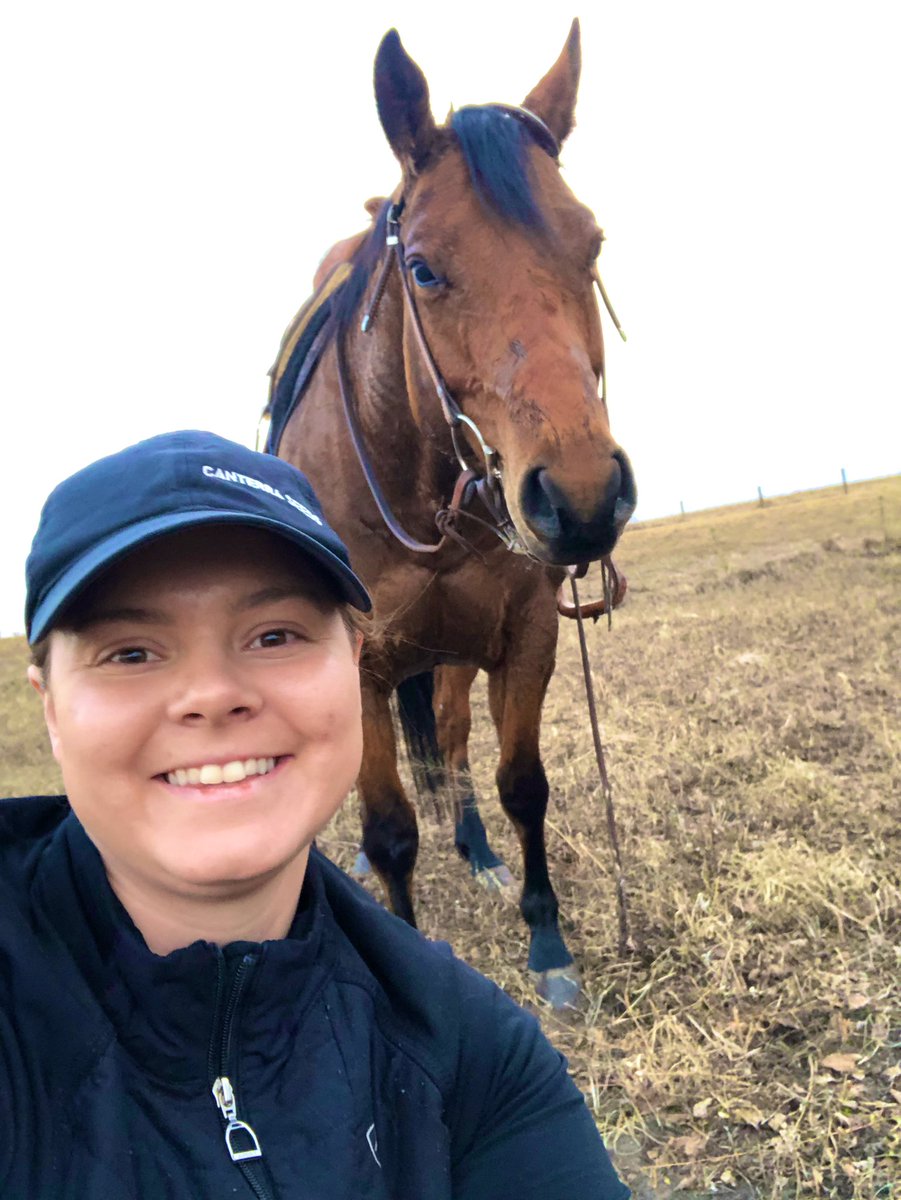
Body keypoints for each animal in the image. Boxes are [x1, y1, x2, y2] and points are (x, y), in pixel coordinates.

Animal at [265, 21, 637, 1006]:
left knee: (458, 742)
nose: (581, 497)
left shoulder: (525, 634)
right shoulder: (354, 671)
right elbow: (391, 828)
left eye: (590, 245)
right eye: (424, 269)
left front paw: (546, 943)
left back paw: (476, 853)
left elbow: (520, 784)